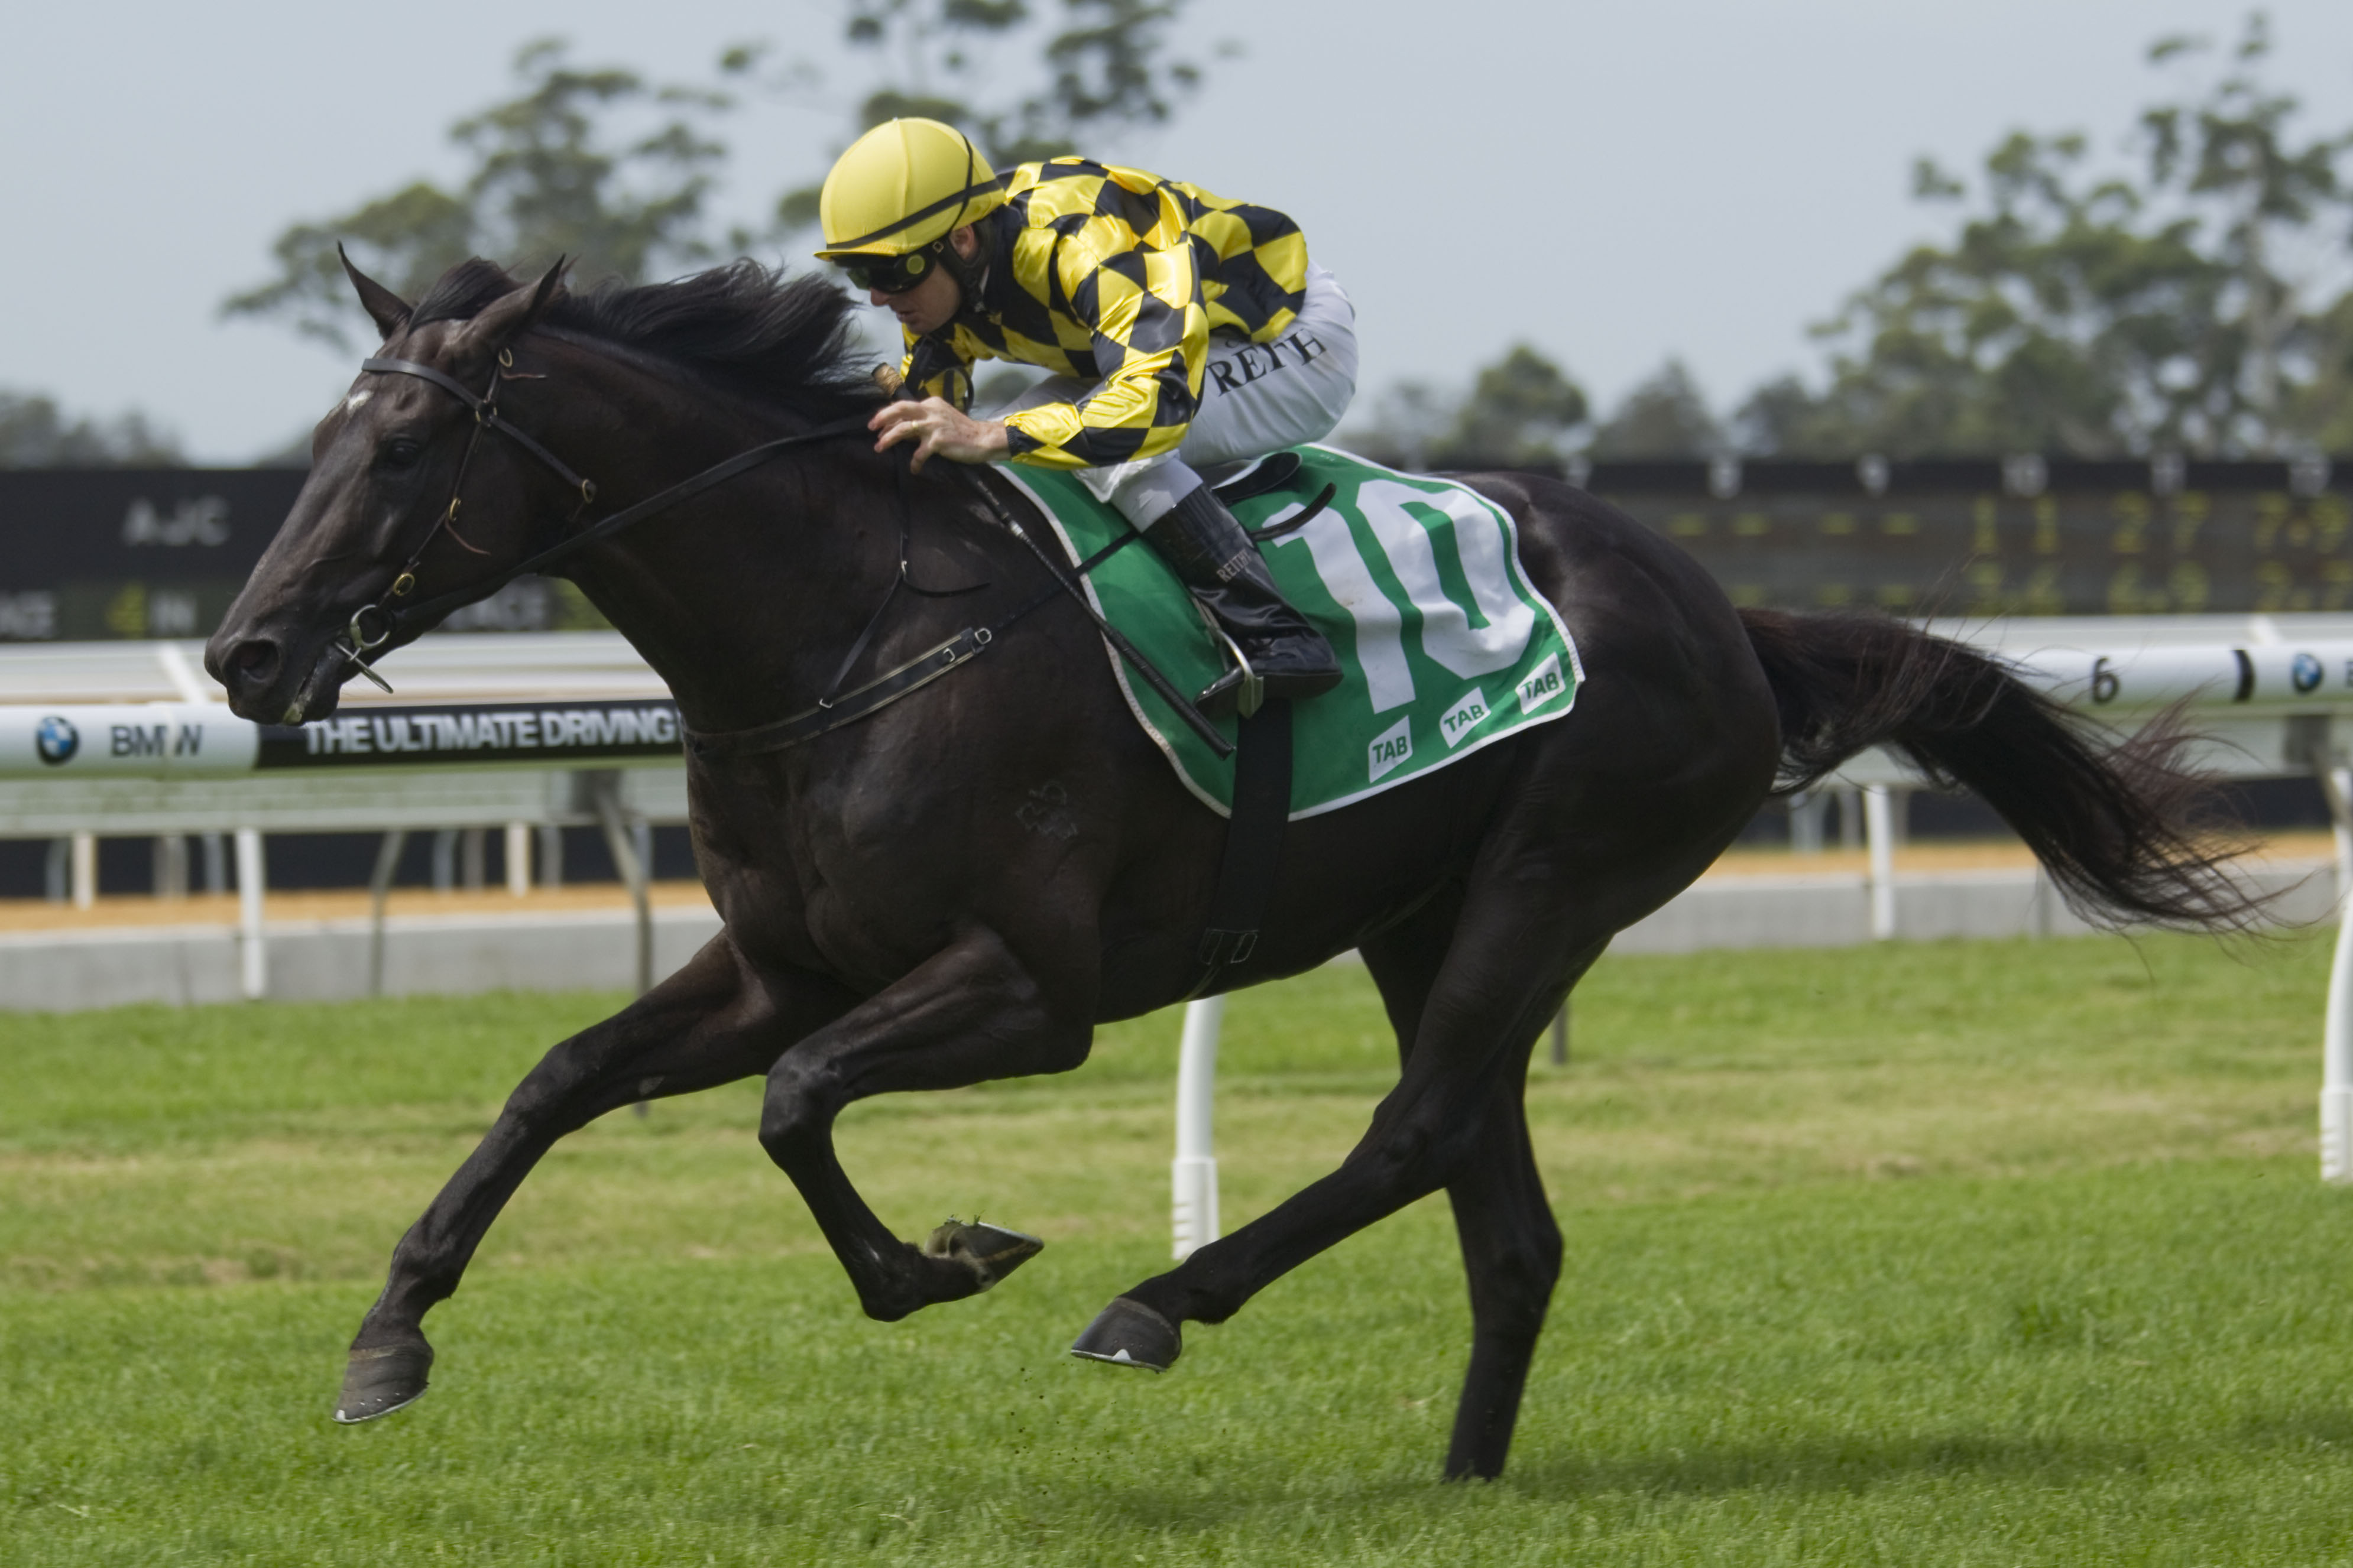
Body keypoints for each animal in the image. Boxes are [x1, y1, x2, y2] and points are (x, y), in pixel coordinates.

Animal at [204, 254, 2255, 1480]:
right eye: (321, 433)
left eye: (407, 445)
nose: (243, 653)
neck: (851, 624)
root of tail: (1720, 609)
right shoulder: (785, 959)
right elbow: (560, 1076)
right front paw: (386, 1334)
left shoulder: (1032, 988)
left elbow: (795, 1106)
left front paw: (945, 1259)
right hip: (1430, 914)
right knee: (1499, 1204)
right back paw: (1460, 1474)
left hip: (1559, 870)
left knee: (1415, 1131)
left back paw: (1156, 1301)